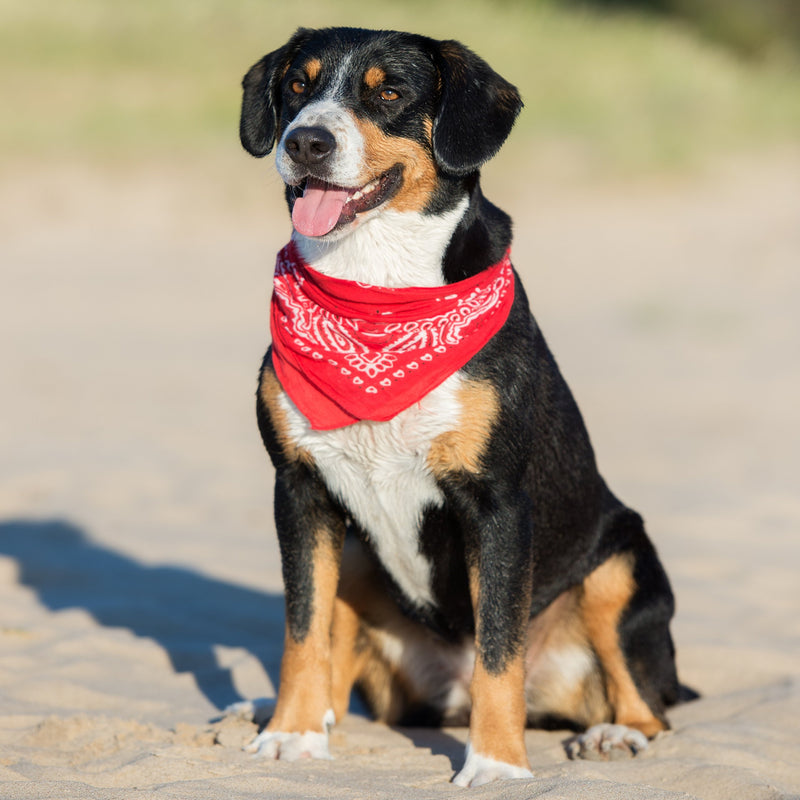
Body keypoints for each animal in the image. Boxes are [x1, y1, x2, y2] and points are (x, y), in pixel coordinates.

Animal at [234, 25, 684, 788]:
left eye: (389, 93)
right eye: (297, 85)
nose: (305, 142)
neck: (376, 293)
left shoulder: (496, 503)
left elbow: (499, 650)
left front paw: (497, 765)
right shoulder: (299, 490)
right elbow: (302, 628)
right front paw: (291, 733)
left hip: (620, 567)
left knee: (649, 703)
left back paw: (614, 734)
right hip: (356, 553)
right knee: (335, 665)